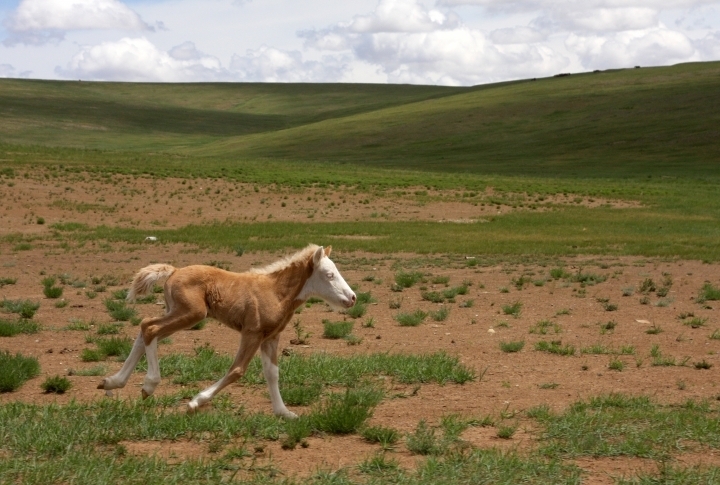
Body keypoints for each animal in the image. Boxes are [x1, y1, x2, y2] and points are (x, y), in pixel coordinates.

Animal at [97, 244, 356, 418]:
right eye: (329, 274)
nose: (352, 298)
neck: (276, 292)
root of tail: (174, 270)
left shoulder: (271, 337)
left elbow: (272, 373)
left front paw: (284, 412)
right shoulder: (252, 332)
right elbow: (237, 370)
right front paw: (195, 402)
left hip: (178, 312)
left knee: (145, 328)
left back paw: (112, 383)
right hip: (191, 314)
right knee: (151, 328)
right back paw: (148, 385)